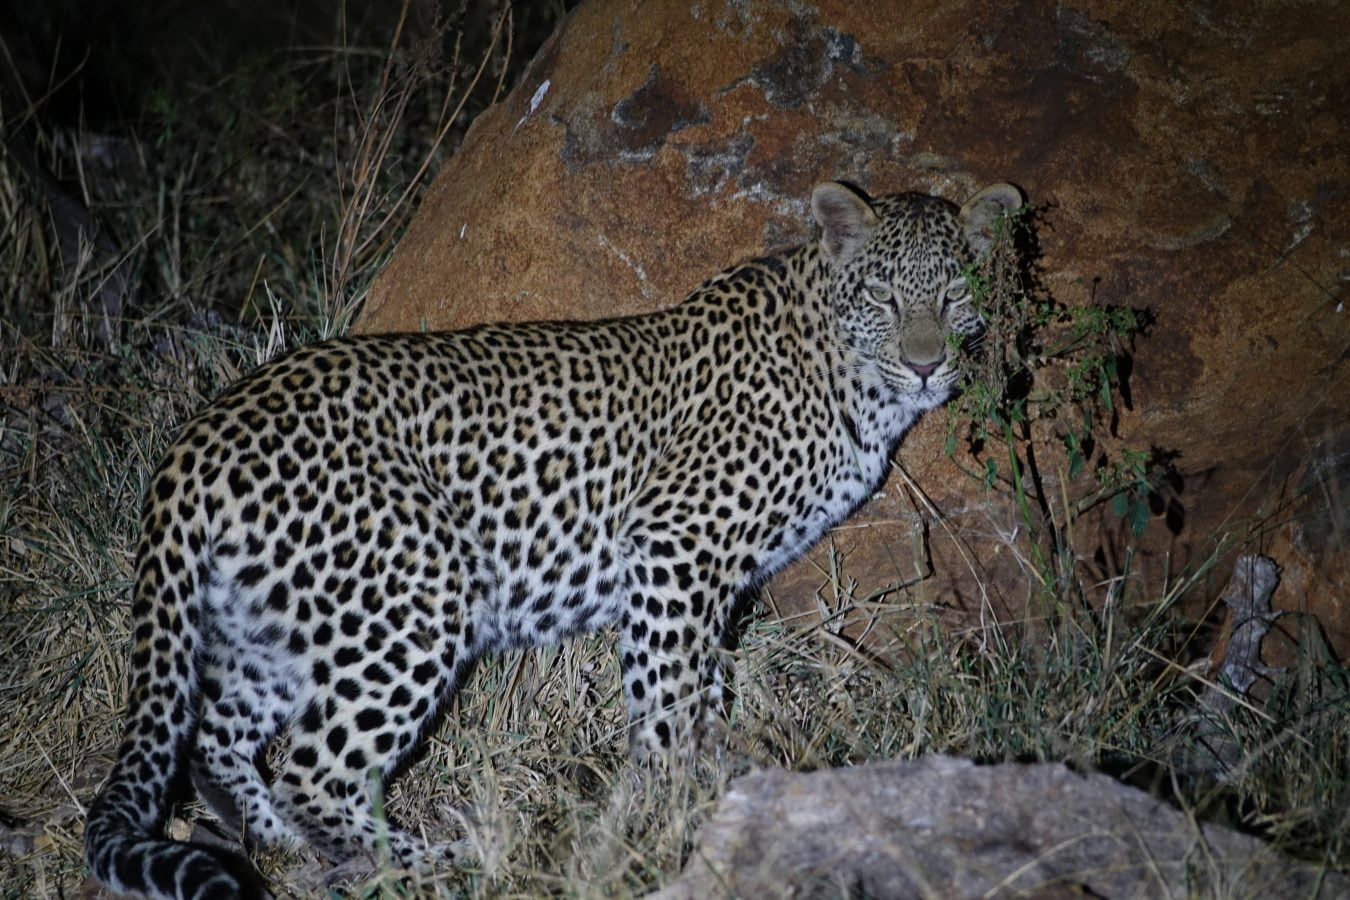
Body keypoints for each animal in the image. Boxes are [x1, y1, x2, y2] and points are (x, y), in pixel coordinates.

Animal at [85, 179, 1021, 899]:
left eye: (954, 295)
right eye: (886, 297)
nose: (928, 364)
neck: (849, 370)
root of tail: (201, 433)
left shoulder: (711, 577)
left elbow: (703, 690)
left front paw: (713, 788)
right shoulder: (675, 544)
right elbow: (668, 701)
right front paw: (669, 816)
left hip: (279, 622)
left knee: (216, 736)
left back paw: (276, 841)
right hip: (412, 598)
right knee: (319, 770)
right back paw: (440, 862)